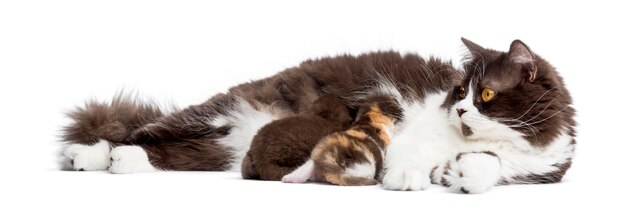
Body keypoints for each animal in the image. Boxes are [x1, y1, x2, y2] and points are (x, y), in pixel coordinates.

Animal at [61, 38, 572, 194]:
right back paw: (84, 155)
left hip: (217, 147)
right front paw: (406, 177)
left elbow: (492, 166)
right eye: (458, 91)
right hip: (213, 112)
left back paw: (114, 162)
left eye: (485, 93)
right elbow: (411, 154)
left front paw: (460, 174)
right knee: (142, 130)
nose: (461, 108)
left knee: (172, 152)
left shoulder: (542, 168)